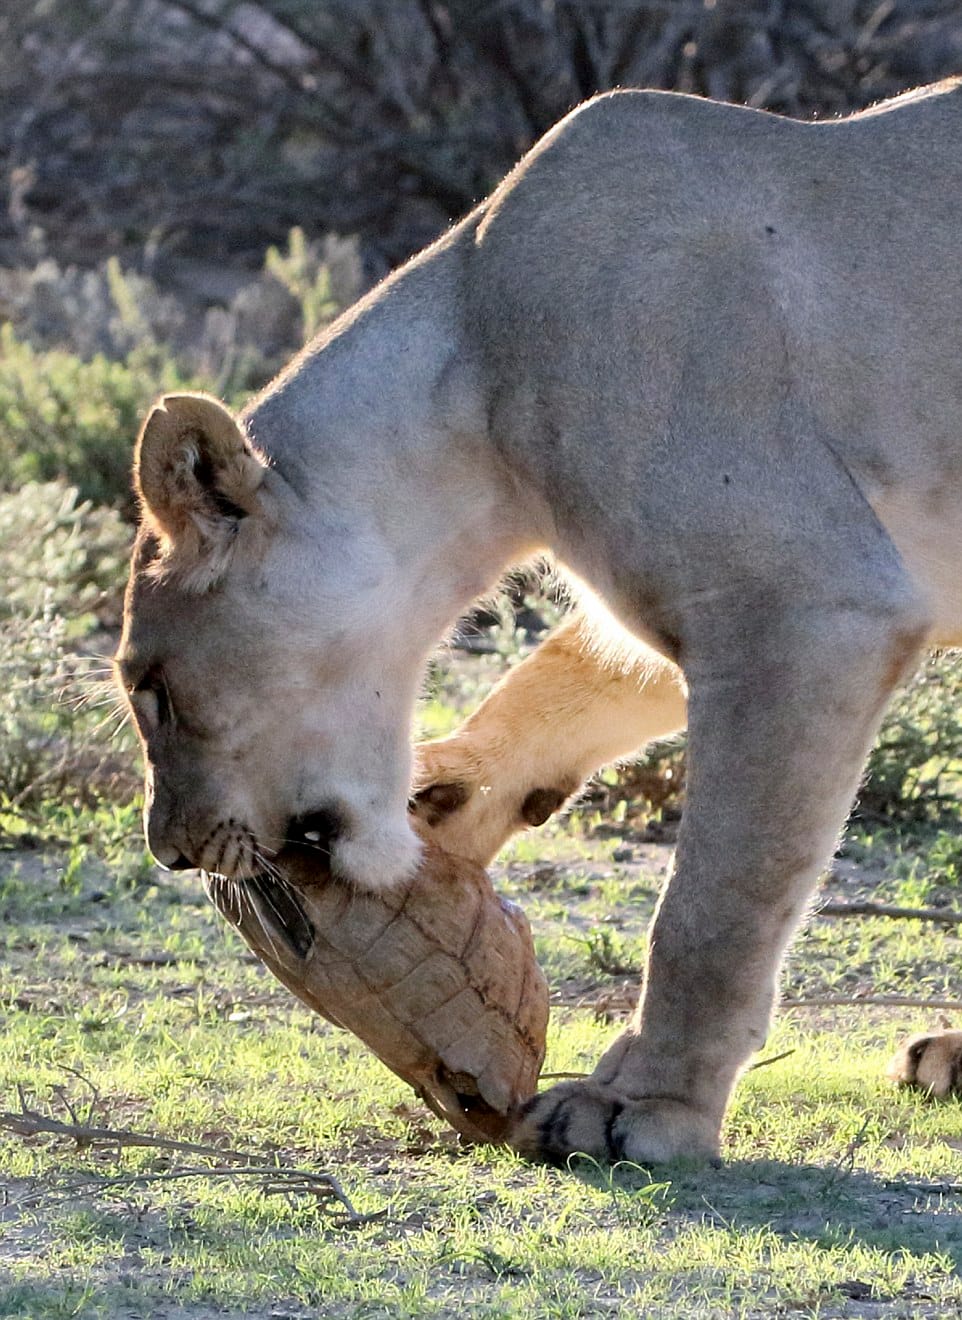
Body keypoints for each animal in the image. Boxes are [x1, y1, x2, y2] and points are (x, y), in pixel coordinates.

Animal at [117, 79, 962, 1166]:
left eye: (151, 688)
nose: (172, 851)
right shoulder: (689, 604)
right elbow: (546, 697)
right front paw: (444, 800)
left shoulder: (806, 601)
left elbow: (714, 902)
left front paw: (643, 1107)